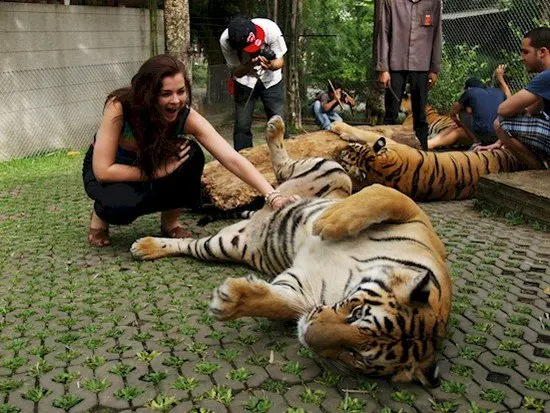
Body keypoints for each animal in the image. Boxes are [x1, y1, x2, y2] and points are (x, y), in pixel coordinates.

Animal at [133, 114, 452, 382]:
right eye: (357, 312)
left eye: (356, 357)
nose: (308, 335)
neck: (349, 280)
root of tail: (260, 212)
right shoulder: (417, 219)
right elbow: (381, 198)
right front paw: (327, 223)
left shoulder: (304, 290)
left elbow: (279, 303)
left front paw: (231, 301)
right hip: (333, 171)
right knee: (284, 167)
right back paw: (276, 129)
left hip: (223, 244)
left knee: (190, 244)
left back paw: (147, 247)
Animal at [332, 121, 528, 200]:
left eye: (349, 149)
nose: (337, 152)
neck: (377, 168)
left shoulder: (394, 145)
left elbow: (366, 133)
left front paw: (339, 127)